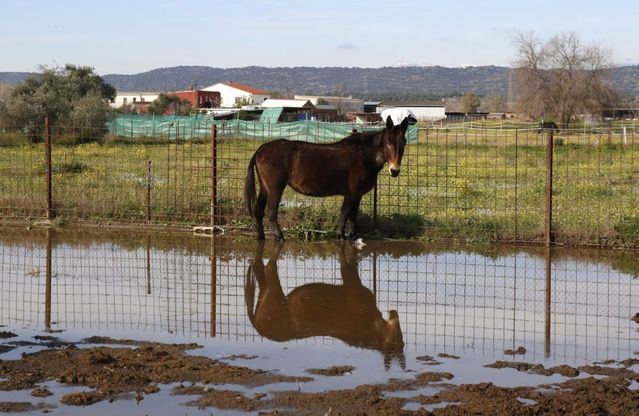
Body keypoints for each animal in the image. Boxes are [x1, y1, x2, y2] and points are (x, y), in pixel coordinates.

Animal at [245, 117, 410, 240]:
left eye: (403, 143)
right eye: (388, 142)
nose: (394, 170)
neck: (363, 154)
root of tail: (261, 149)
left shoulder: (357, 195)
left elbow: (353, 217)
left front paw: (352, 236)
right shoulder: (351, 193)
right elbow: (345, 214)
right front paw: (341, 236)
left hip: (265, 187)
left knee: (258, 210)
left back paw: (261, 236)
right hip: (275, 188)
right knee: (271, 212)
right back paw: (279, 237)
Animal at [245, 240, 404, 368]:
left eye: (401, 339)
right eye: (393, 341)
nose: (394, 313)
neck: (371, 325)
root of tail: (259, 328)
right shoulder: (352, 283)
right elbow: (345, 262)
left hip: (266, 294)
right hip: (273, 291)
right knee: (269, 267)